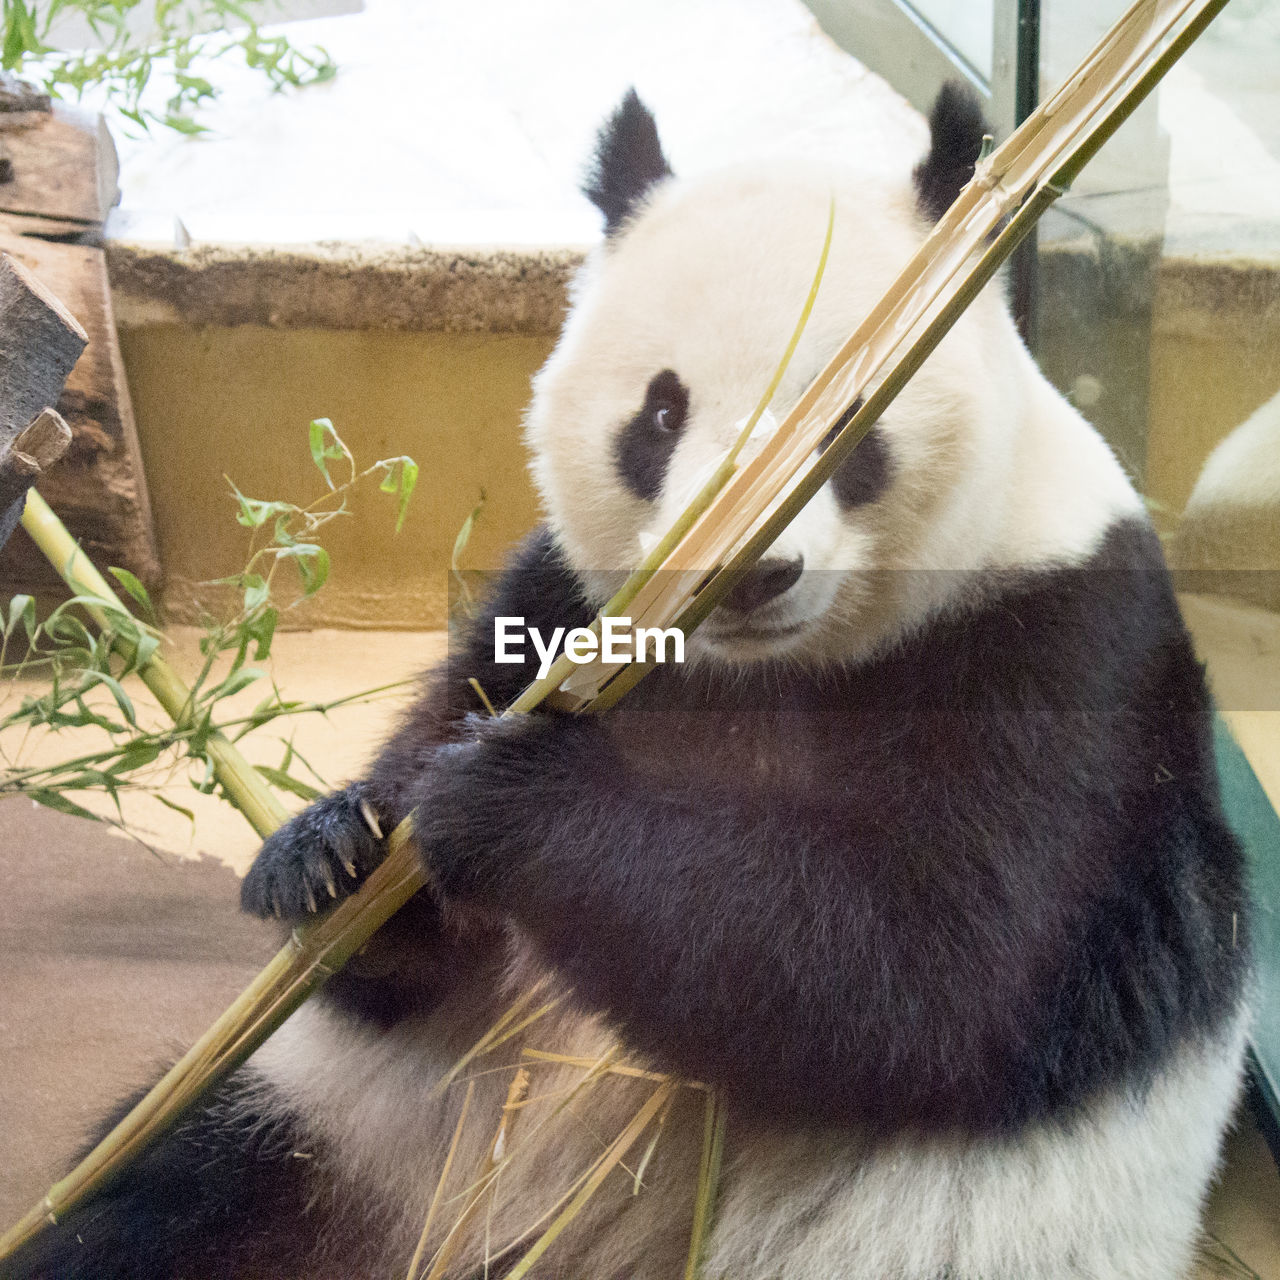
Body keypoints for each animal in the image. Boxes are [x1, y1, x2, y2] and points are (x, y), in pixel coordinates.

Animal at [10, 85, 1249, 1274]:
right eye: (661, 409)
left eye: (847, 414)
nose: (750, 567)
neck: (760, 666)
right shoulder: (564, 602)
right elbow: (402, 933)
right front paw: (334, 851)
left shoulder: (1052, 642)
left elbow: (932, 974)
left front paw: (503, 805)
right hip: (345, 1145)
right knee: (165, 1198)